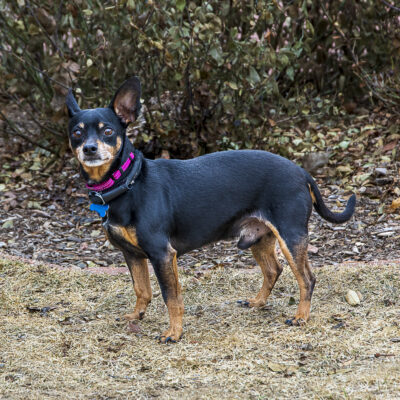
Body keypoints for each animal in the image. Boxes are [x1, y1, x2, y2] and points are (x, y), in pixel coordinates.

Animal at [65, 78, 356, 344]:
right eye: (77, 133)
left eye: (108, 131)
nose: (89, 149)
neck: (127, 182)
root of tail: (301, 172)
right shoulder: (133, 254)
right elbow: (141, 290)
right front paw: (136, 317)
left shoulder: (162, 254)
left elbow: (171, 297)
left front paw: (174, 333)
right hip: (260, 237)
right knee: (273, 270)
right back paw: (258, 302)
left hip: (291, 236)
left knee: (307, 278)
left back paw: (301, 317)